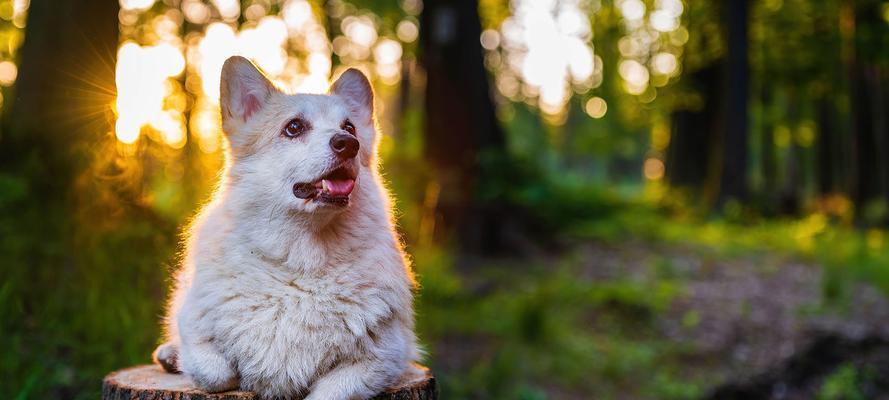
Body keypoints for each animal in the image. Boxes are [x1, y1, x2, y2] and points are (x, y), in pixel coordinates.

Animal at [154, 56, 422, 400]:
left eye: (349, 127)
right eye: (293, 128)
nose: (348, 144)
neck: (301, 260)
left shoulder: (386, 357)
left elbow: (326, 394)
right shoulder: (192, 324)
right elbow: (216, 374)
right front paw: (188, 360)